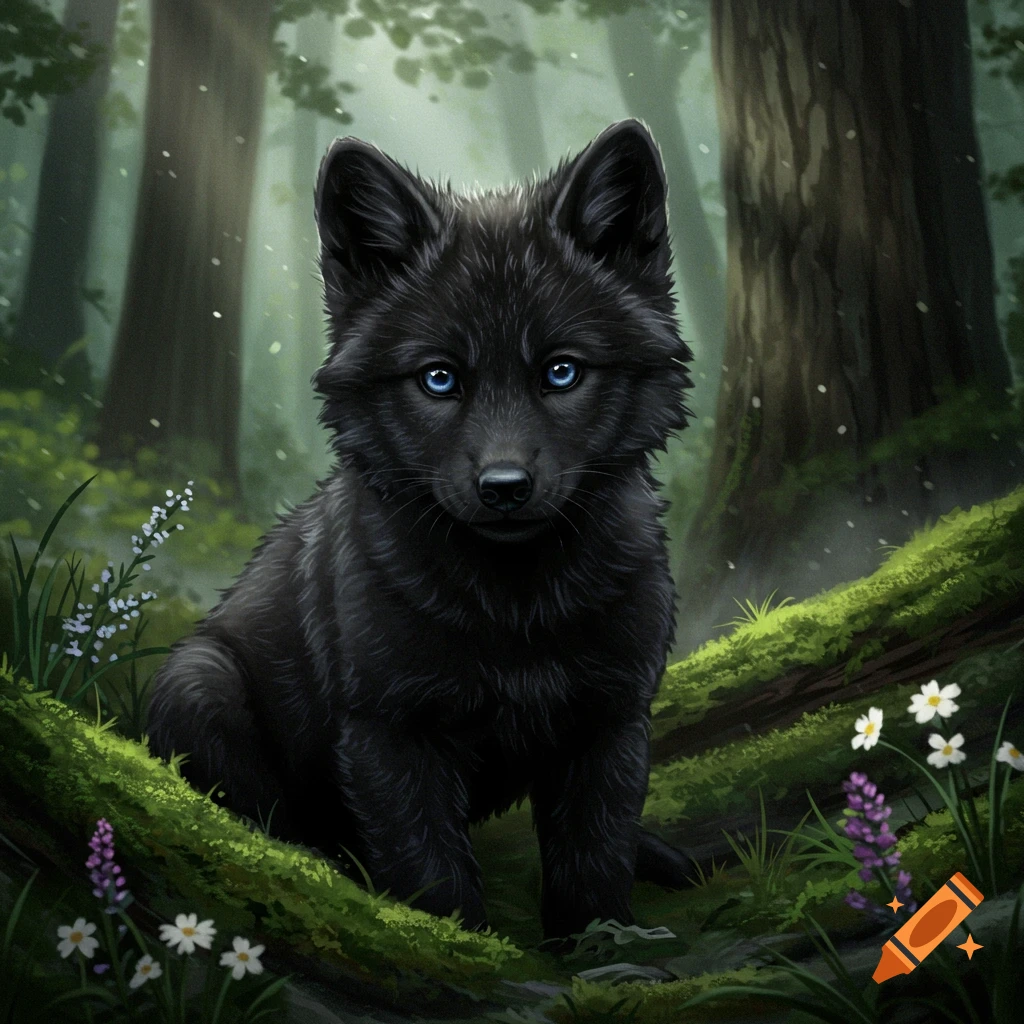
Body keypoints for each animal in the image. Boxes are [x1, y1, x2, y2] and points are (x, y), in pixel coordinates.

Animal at [146, 118, 695, 943]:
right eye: (439, 379)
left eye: (561, 372)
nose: (504, 488)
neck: (516, 606)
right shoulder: (392, 731)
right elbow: (431, 875)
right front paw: (459, 948)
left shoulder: (610, 722)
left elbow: (595, 859)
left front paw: (603, 945)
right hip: (197, 682)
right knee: (268, 821)